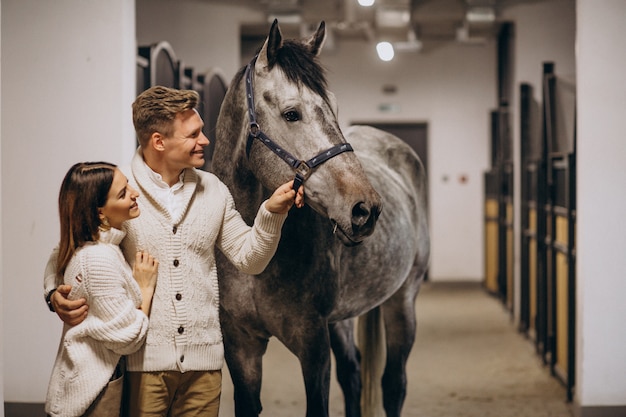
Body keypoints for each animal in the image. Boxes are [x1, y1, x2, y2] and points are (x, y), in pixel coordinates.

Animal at [212, 19, 426, 416]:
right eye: (291, 113)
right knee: (354, 373)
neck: (250, 248)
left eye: (335, 108)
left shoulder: (312, 344)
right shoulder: (240, 345)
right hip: (342, 319)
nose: (365, 209)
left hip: (402, 299)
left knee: (394, 384)